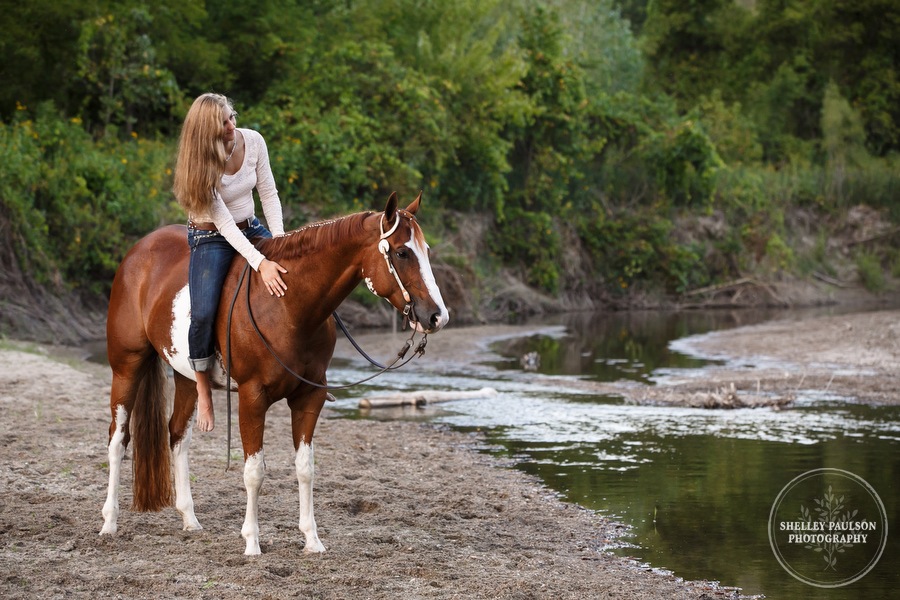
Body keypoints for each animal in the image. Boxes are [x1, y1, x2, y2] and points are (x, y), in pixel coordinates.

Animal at [101, 191, 450, 552]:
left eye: (425, 251)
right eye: (402, 252)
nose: (438, 316)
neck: (288, 306)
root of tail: (139, 250)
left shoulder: (310, 396)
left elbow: (305, 468)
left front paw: (312, 539)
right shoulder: (252, 398)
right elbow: (255, 470)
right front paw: (252, 542)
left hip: (186, 377)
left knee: (178, 436)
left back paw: (189, 519)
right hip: (127, 366)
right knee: (118, 439)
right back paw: (109, 522)